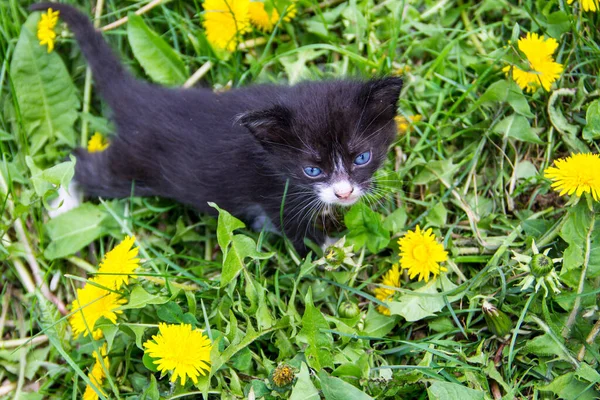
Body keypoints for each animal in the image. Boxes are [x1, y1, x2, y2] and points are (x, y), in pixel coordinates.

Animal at [30, 3, 400, 253]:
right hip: (132, 168)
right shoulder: (275, 196)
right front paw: (337, 250)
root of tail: (141, 97)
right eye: (312, 170)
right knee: (83, 162)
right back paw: (66, 201)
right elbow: (297, 232)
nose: (344, 193)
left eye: (362, 158)